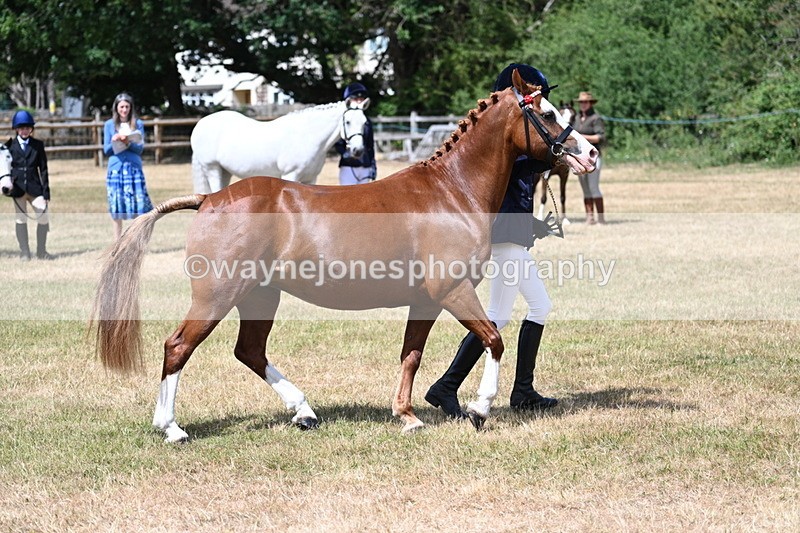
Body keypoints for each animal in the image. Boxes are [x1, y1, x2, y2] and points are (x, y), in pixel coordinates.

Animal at [190, 99, 369, 193]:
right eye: (348, 122)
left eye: (364, 122)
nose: (358, 150)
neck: (307, 136)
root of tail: (200, 124)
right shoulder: (291, 175)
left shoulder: (311, 178)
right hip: (212, 168)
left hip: (224, 171)